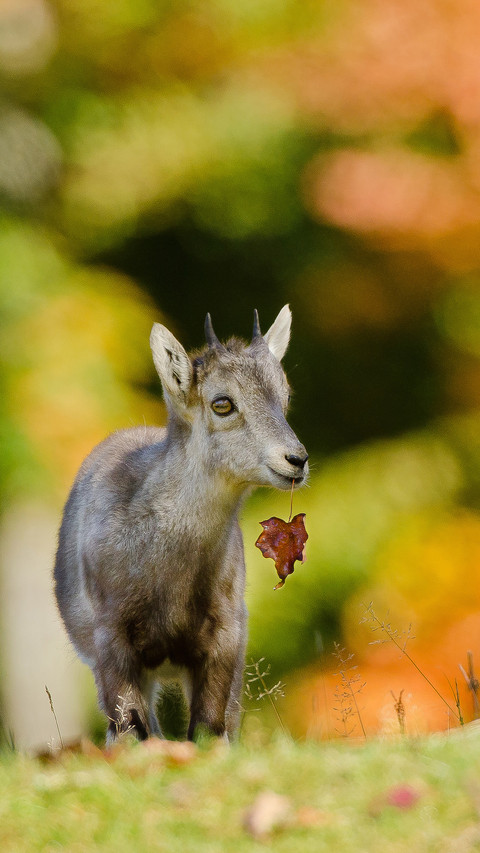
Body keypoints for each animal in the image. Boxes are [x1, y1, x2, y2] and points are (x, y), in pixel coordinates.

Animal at [54, 306, 308, 742]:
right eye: (222, 403)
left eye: (286, 395)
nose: (296, 460)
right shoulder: (112, 640)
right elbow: (131, 727)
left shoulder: (225, 637)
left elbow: (210, 726)